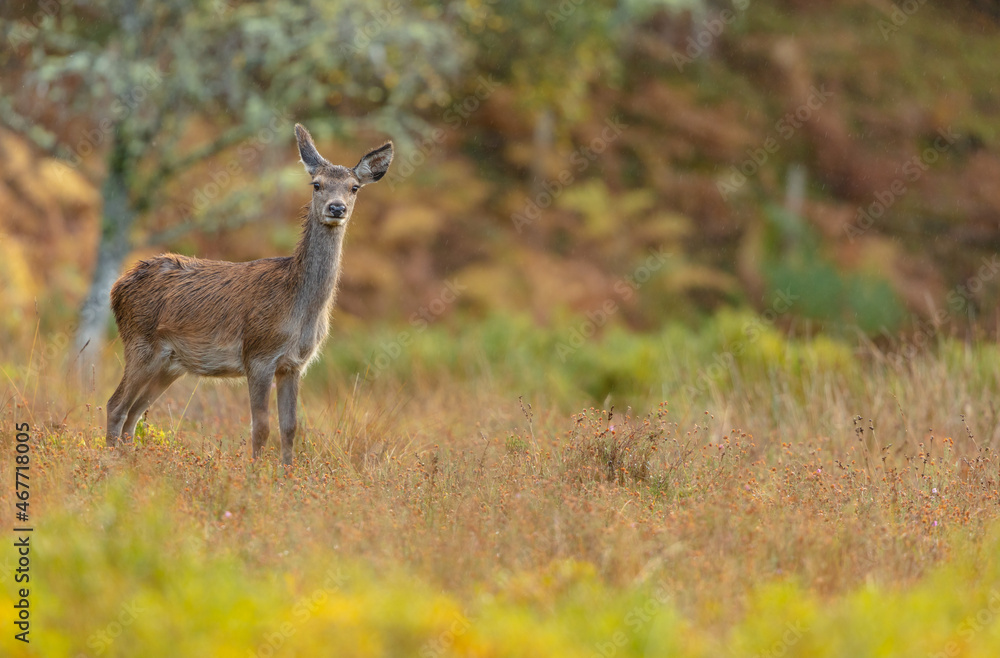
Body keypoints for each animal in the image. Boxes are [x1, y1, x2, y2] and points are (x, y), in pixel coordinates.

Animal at [105, 124, 393, 465]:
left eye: (354, 187)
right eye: (316, 184)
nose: (337, 208)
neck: (299, 308)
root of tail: (117, 287)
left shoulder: (294, 365)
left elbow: (290, 428)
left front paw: (286, 473)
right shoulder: (258, 355)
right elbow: (261, 428)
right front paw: (255, 474)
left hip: (169, 364)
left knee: (133, 413)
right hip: (140, 344)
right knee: (115, 405)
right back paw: (108, 462)